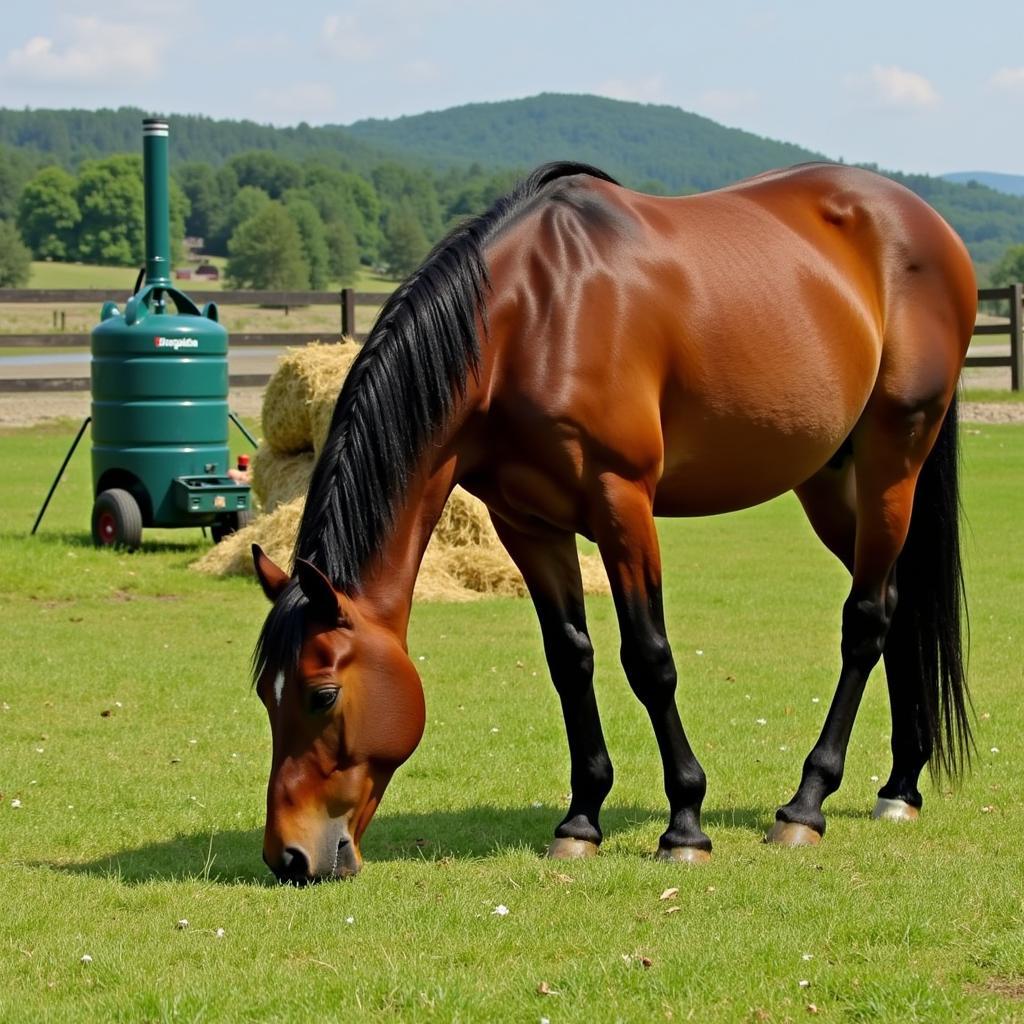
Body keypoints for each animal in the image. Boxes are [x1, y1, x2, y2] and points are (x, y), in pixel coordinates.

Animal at [251, 159, 970, 880]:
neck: (529, 319)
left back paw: (806, 804)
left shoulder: (621, 502)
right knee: (899, 605)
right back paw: (900, 785)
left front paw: (685, 825)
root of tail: (923, 222)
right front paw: (581, 820)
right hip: (827, 479)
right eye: (264, 695)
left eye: (322, 694)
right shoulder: (527, 524)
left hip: (893, 458)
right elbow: (570, 659)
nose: (290, 856)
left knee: (866, 620)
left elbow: (650, 660)